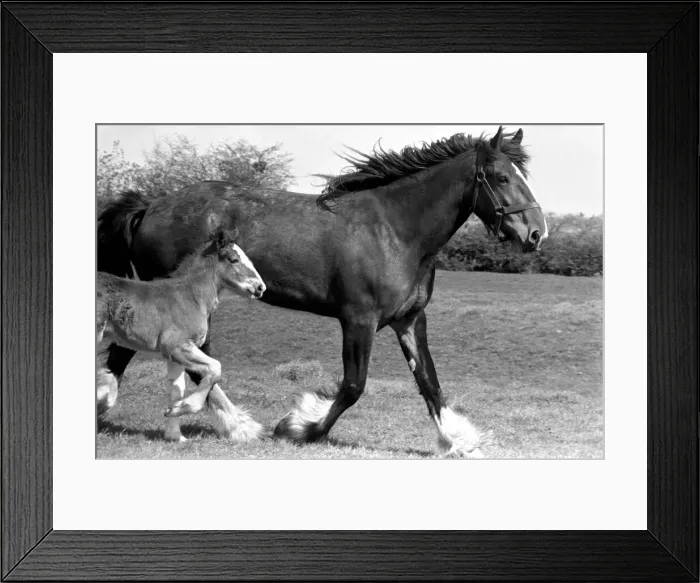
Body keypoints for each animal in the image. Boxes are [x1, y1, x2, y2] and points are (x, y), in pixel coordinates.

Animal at [96, 217, 267, 442]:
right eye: (234, 260)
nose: (260, 287)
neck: (189, 295)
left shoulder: (174, 355)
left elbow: (176, 389)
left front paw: (175, 434)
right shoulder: (176, 345)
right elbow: (215, 367)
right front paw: (184, 407)